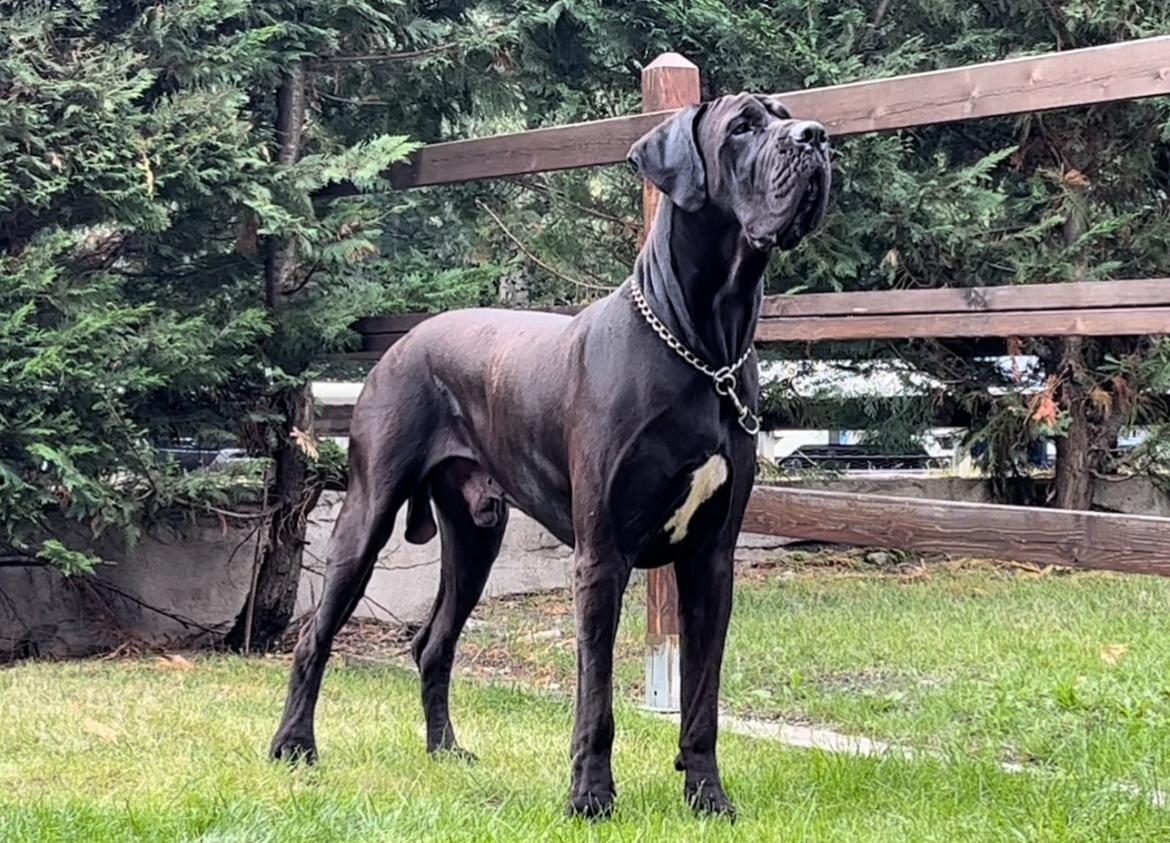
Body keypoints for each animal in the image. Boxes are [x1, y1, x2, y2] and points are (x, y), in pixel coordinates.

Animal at [271, 92, 833, 813]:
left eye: (789, 115)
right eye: (742, 127)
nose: (817, 137)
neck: (704, 346)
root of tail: (404, 340)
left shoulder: (711, 558)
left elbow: (702, 698)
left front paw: (708, 797)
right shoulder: (601, 556)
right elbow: (596, 696)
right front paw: (590, 798)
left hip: (474, 536)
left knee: (433, 643)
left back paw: (445, 750)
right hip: (367, 514)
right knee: (315, 636)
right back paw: (293, 746)